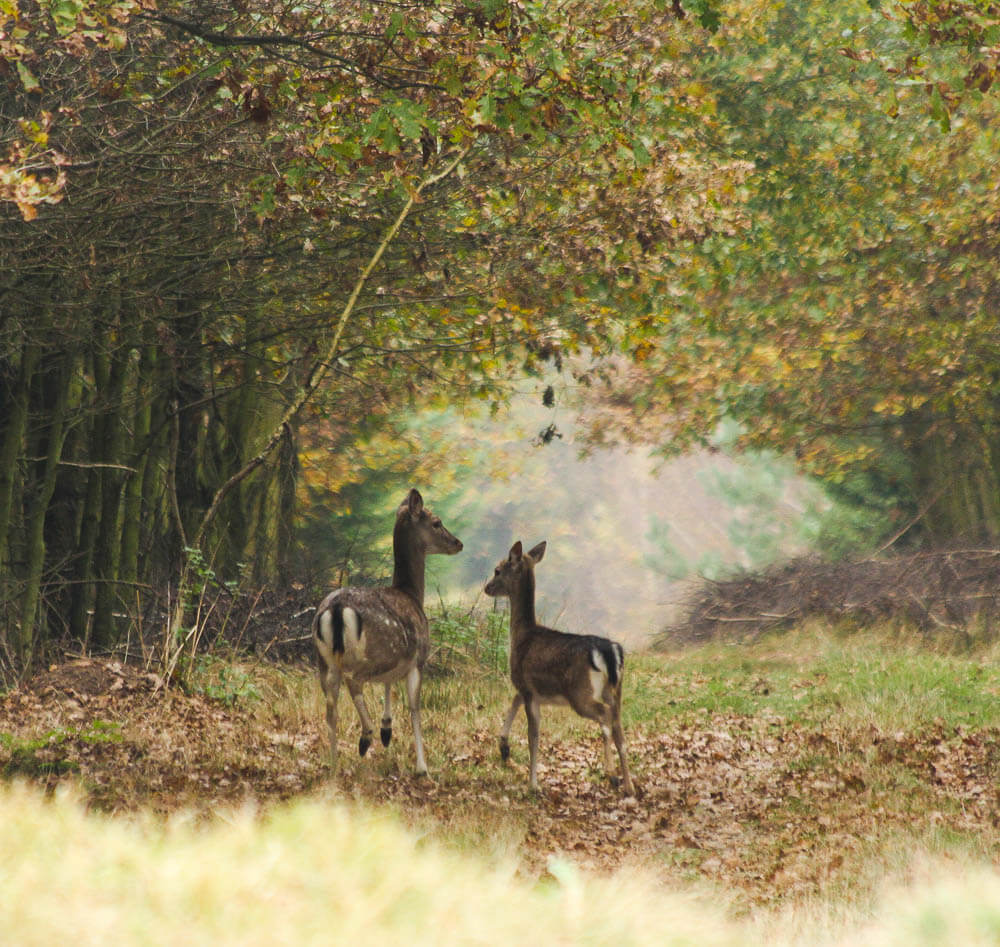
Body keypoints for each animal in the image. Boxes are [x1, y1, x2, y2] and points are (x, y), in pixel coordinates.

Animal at [310, 492, 462, 772]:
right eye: (436, 522)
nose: (458, 543)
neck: (411, 595)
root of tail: (336, 609)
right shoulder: (417, 659)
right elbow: (414, 708)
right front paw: (422, 766)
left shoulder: (397, 661)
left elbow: (388, 686)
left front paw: (387, 730)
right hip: (373, 654)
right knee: (354, 681)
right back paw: (365, 737)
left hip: (324, 660)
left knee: (330, 709)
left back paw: (334, 764)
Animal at [484, 540, 632, 792]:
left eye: (498, 570)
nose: (487, 588)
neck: (523, 637)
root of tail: (609, 652)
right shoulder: (526, 687)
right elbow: (513, 703)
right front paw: (504, 747)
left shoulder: (527, 687)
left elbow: (533, 736)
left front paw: (533, 785)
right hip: (615, 690)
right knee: (618, 727)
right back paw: (630, 785)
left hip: (580, 693)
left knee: (604, 716)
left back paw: (612, 774)